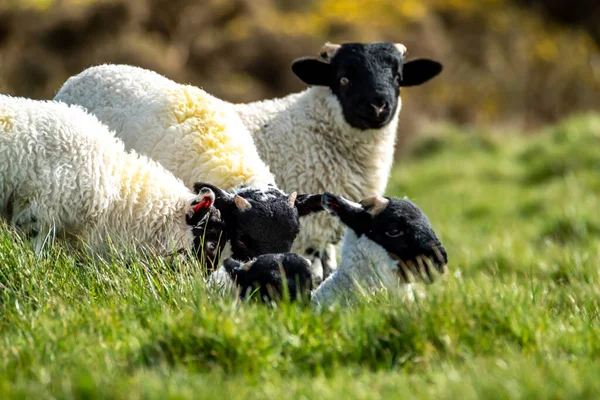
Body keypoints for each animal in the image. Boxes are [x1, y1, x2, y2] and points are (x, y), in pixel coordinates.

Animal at [232, 40, 442, 284]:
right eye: (344, 79)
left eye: (398, 77)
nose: (378, 106)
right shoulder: (310, 230)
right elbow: (315, 272)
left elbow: (328, 269)